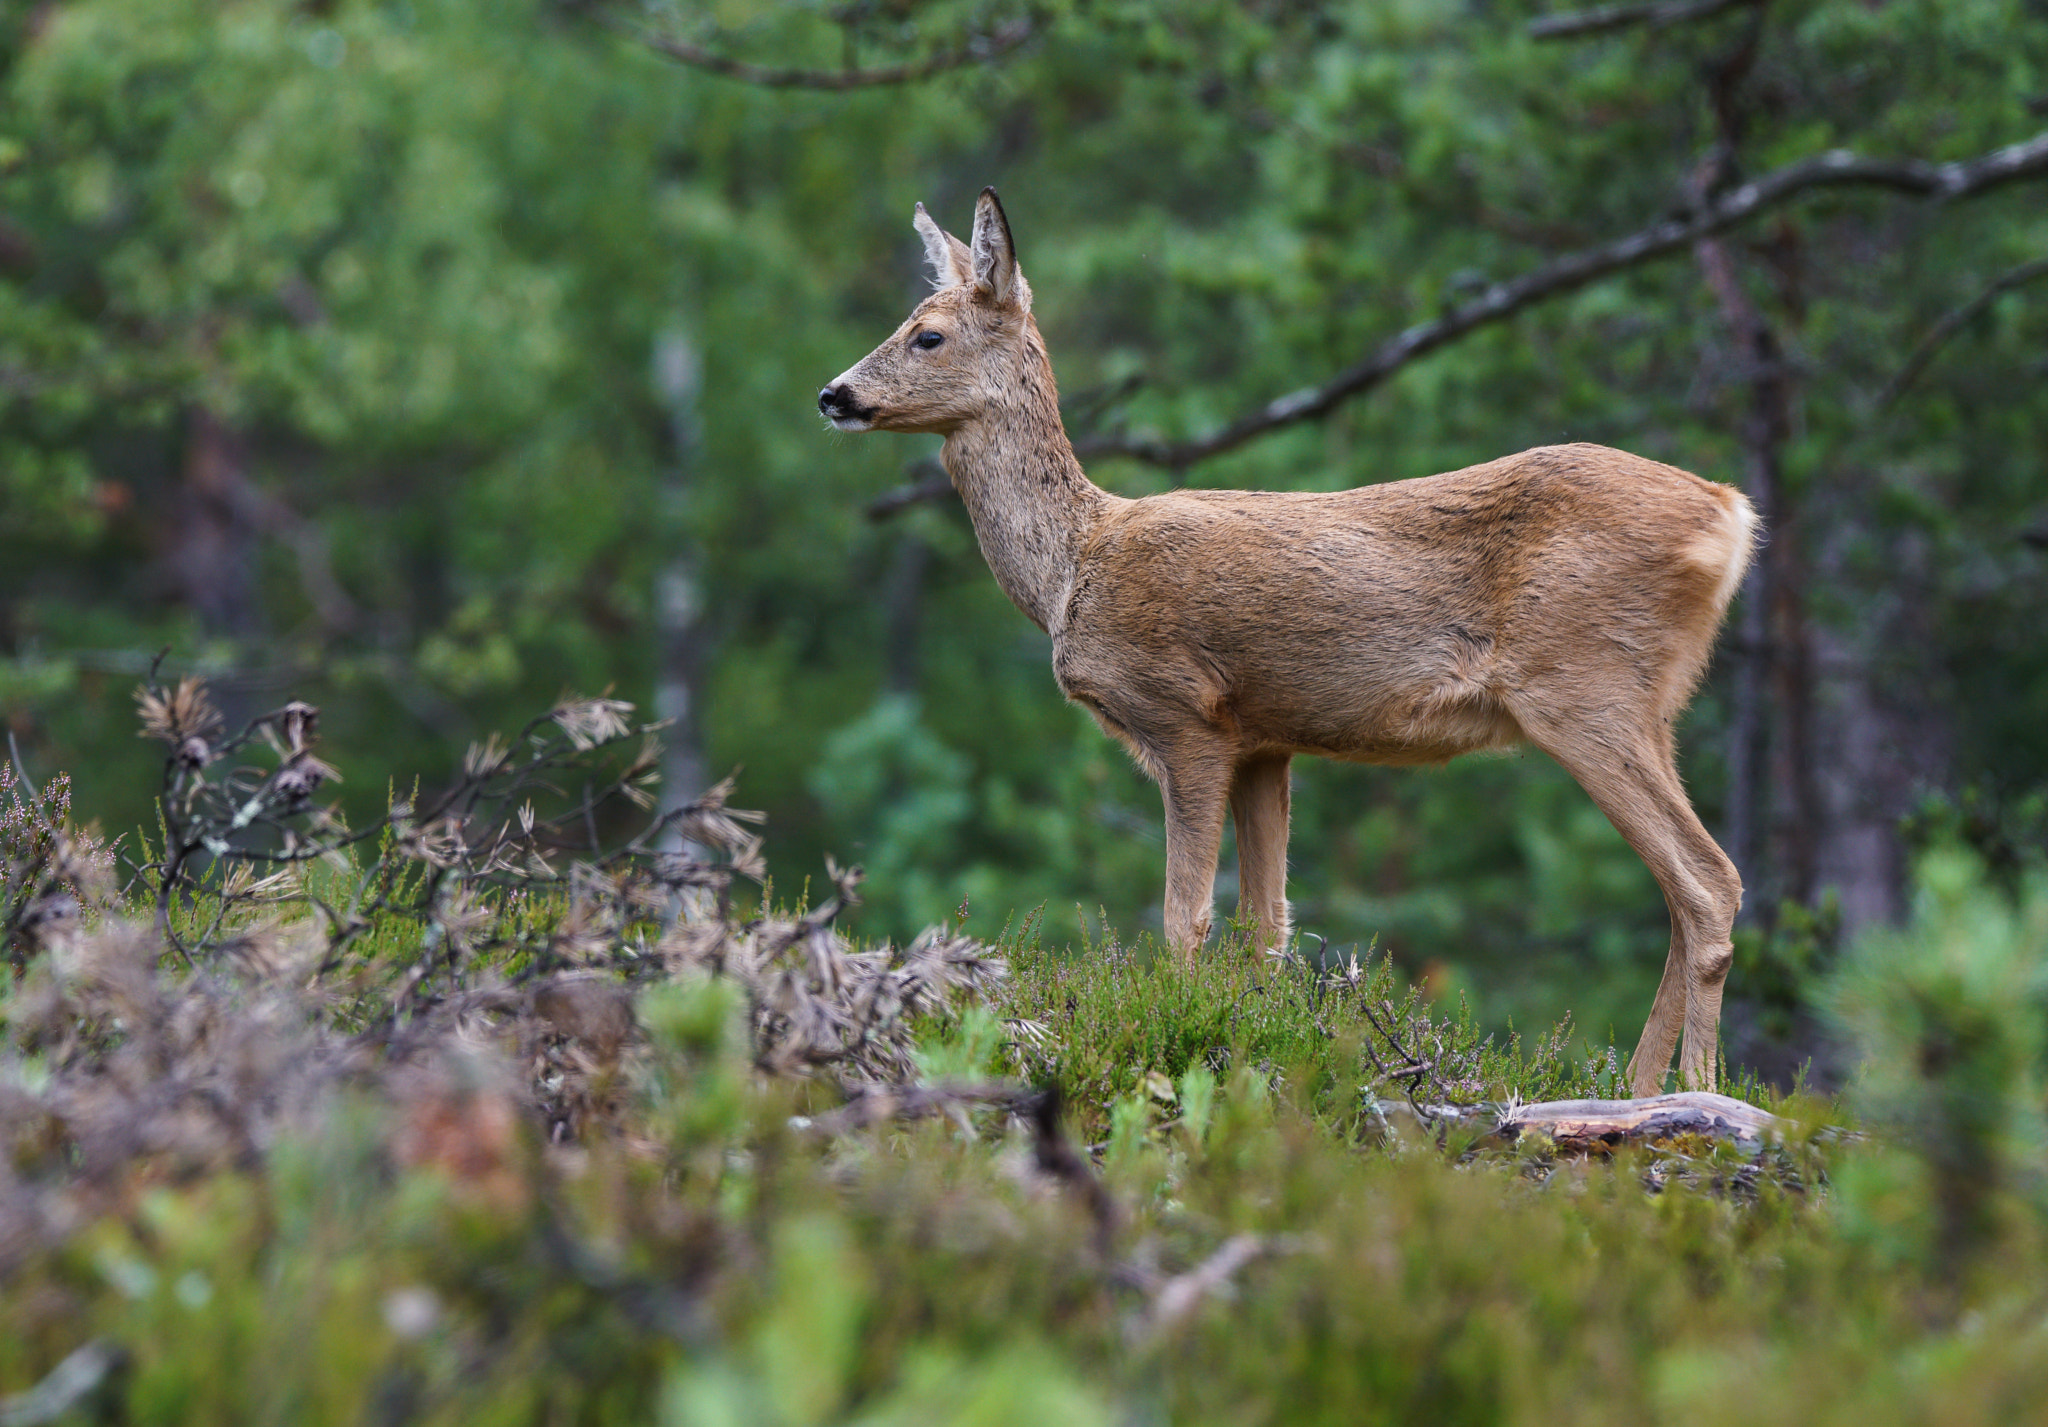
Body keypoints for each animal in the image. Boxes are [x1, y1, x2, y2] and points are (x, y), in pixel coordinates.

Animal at [815, 183, 1761, 1089]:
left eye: (928, 335)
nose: (834, 394)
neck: (1071, 568)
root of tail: (1730, 511)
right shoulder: (1265, 742)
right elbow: (1268, 924)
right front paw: (1265, 1048)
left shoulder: (1187, 718)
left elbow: (1185, 916)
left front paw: (1178, 1033)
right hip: (1651, 705)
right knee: (1684, 890)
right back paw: (1636, 1087)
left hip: (1582, 688)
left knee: (1709, 882)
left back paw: (1698, 1088)